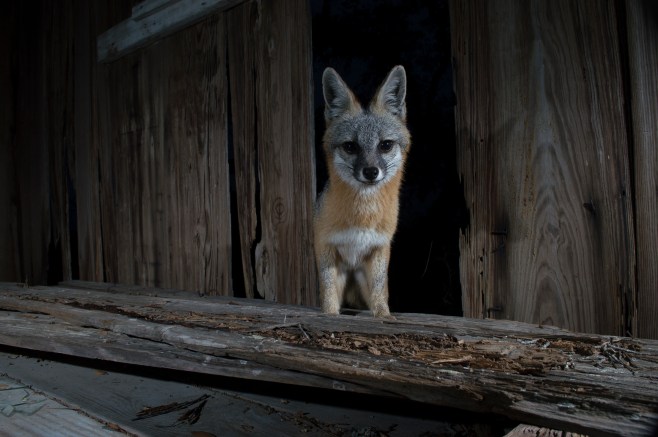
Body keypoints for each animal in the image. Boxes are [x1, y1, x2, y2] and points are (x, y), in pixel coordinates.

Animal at [314, 65, 411, 318]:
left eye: (385, 145)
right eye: (350, 146)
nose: (370, 172)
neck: (363, 215)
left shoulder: (379, 248)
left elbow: (379, 292)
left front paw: (384, 317)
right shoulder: (326, 246)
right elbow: (328, 295)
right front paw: (329, 316)